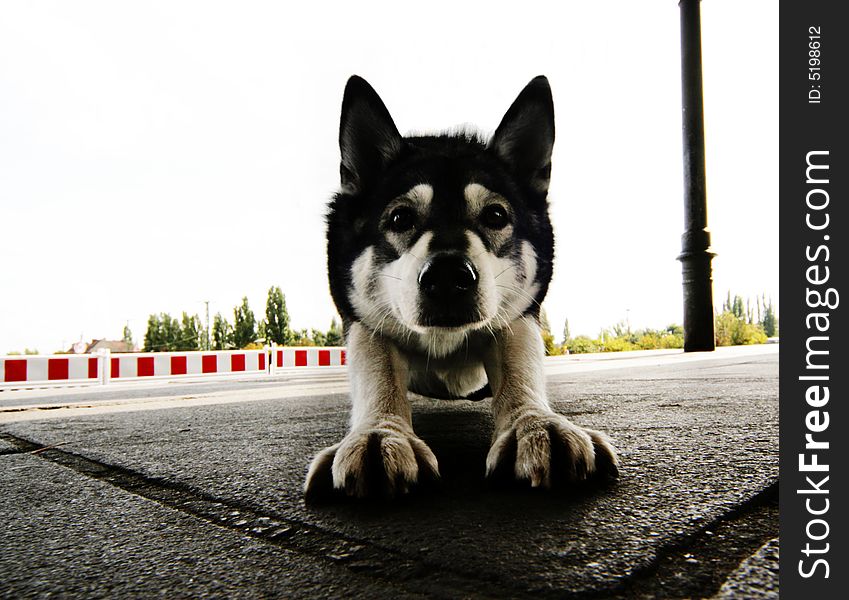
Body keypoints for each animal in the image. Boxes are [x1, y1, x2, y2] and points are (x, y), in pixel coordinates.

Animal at [304, 75, 616, 500]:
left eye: (496, 215)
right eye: (400, 218)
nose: (449, 277)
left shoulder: (518, 313)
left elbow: (518, 364)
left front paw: (535, 424)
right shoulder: (364, 317)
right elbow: (378, 370)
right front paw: (381, 433)